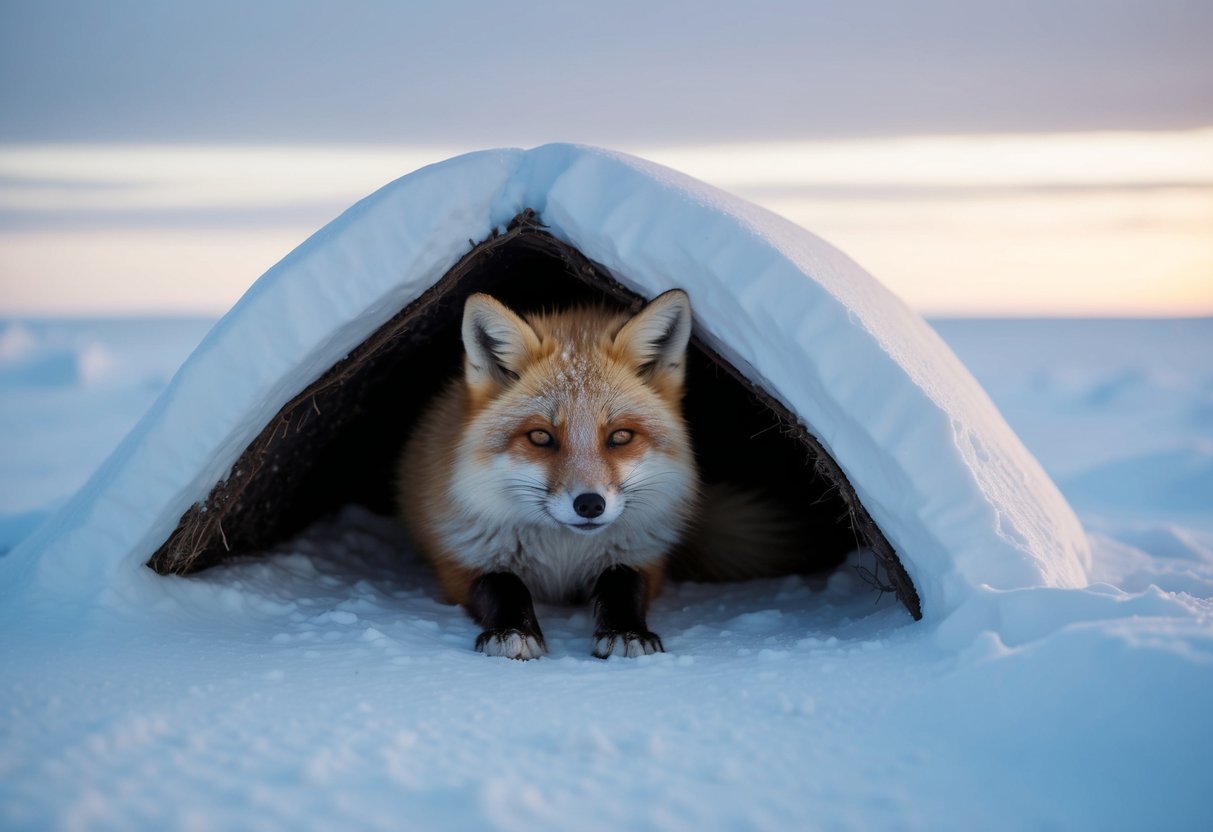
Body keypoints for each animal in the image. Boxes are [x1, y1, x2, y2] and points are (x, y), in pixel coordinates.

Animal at [395, 288, 798, 660]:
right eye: (541, 436)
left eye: (620, 436)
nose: (590, 504)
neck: (564, 554)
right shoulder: (460, 561)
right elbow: (502, 585)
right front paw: (512, 631)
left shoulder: (643, 557)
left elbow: (622, 585)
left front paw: (627, 634)